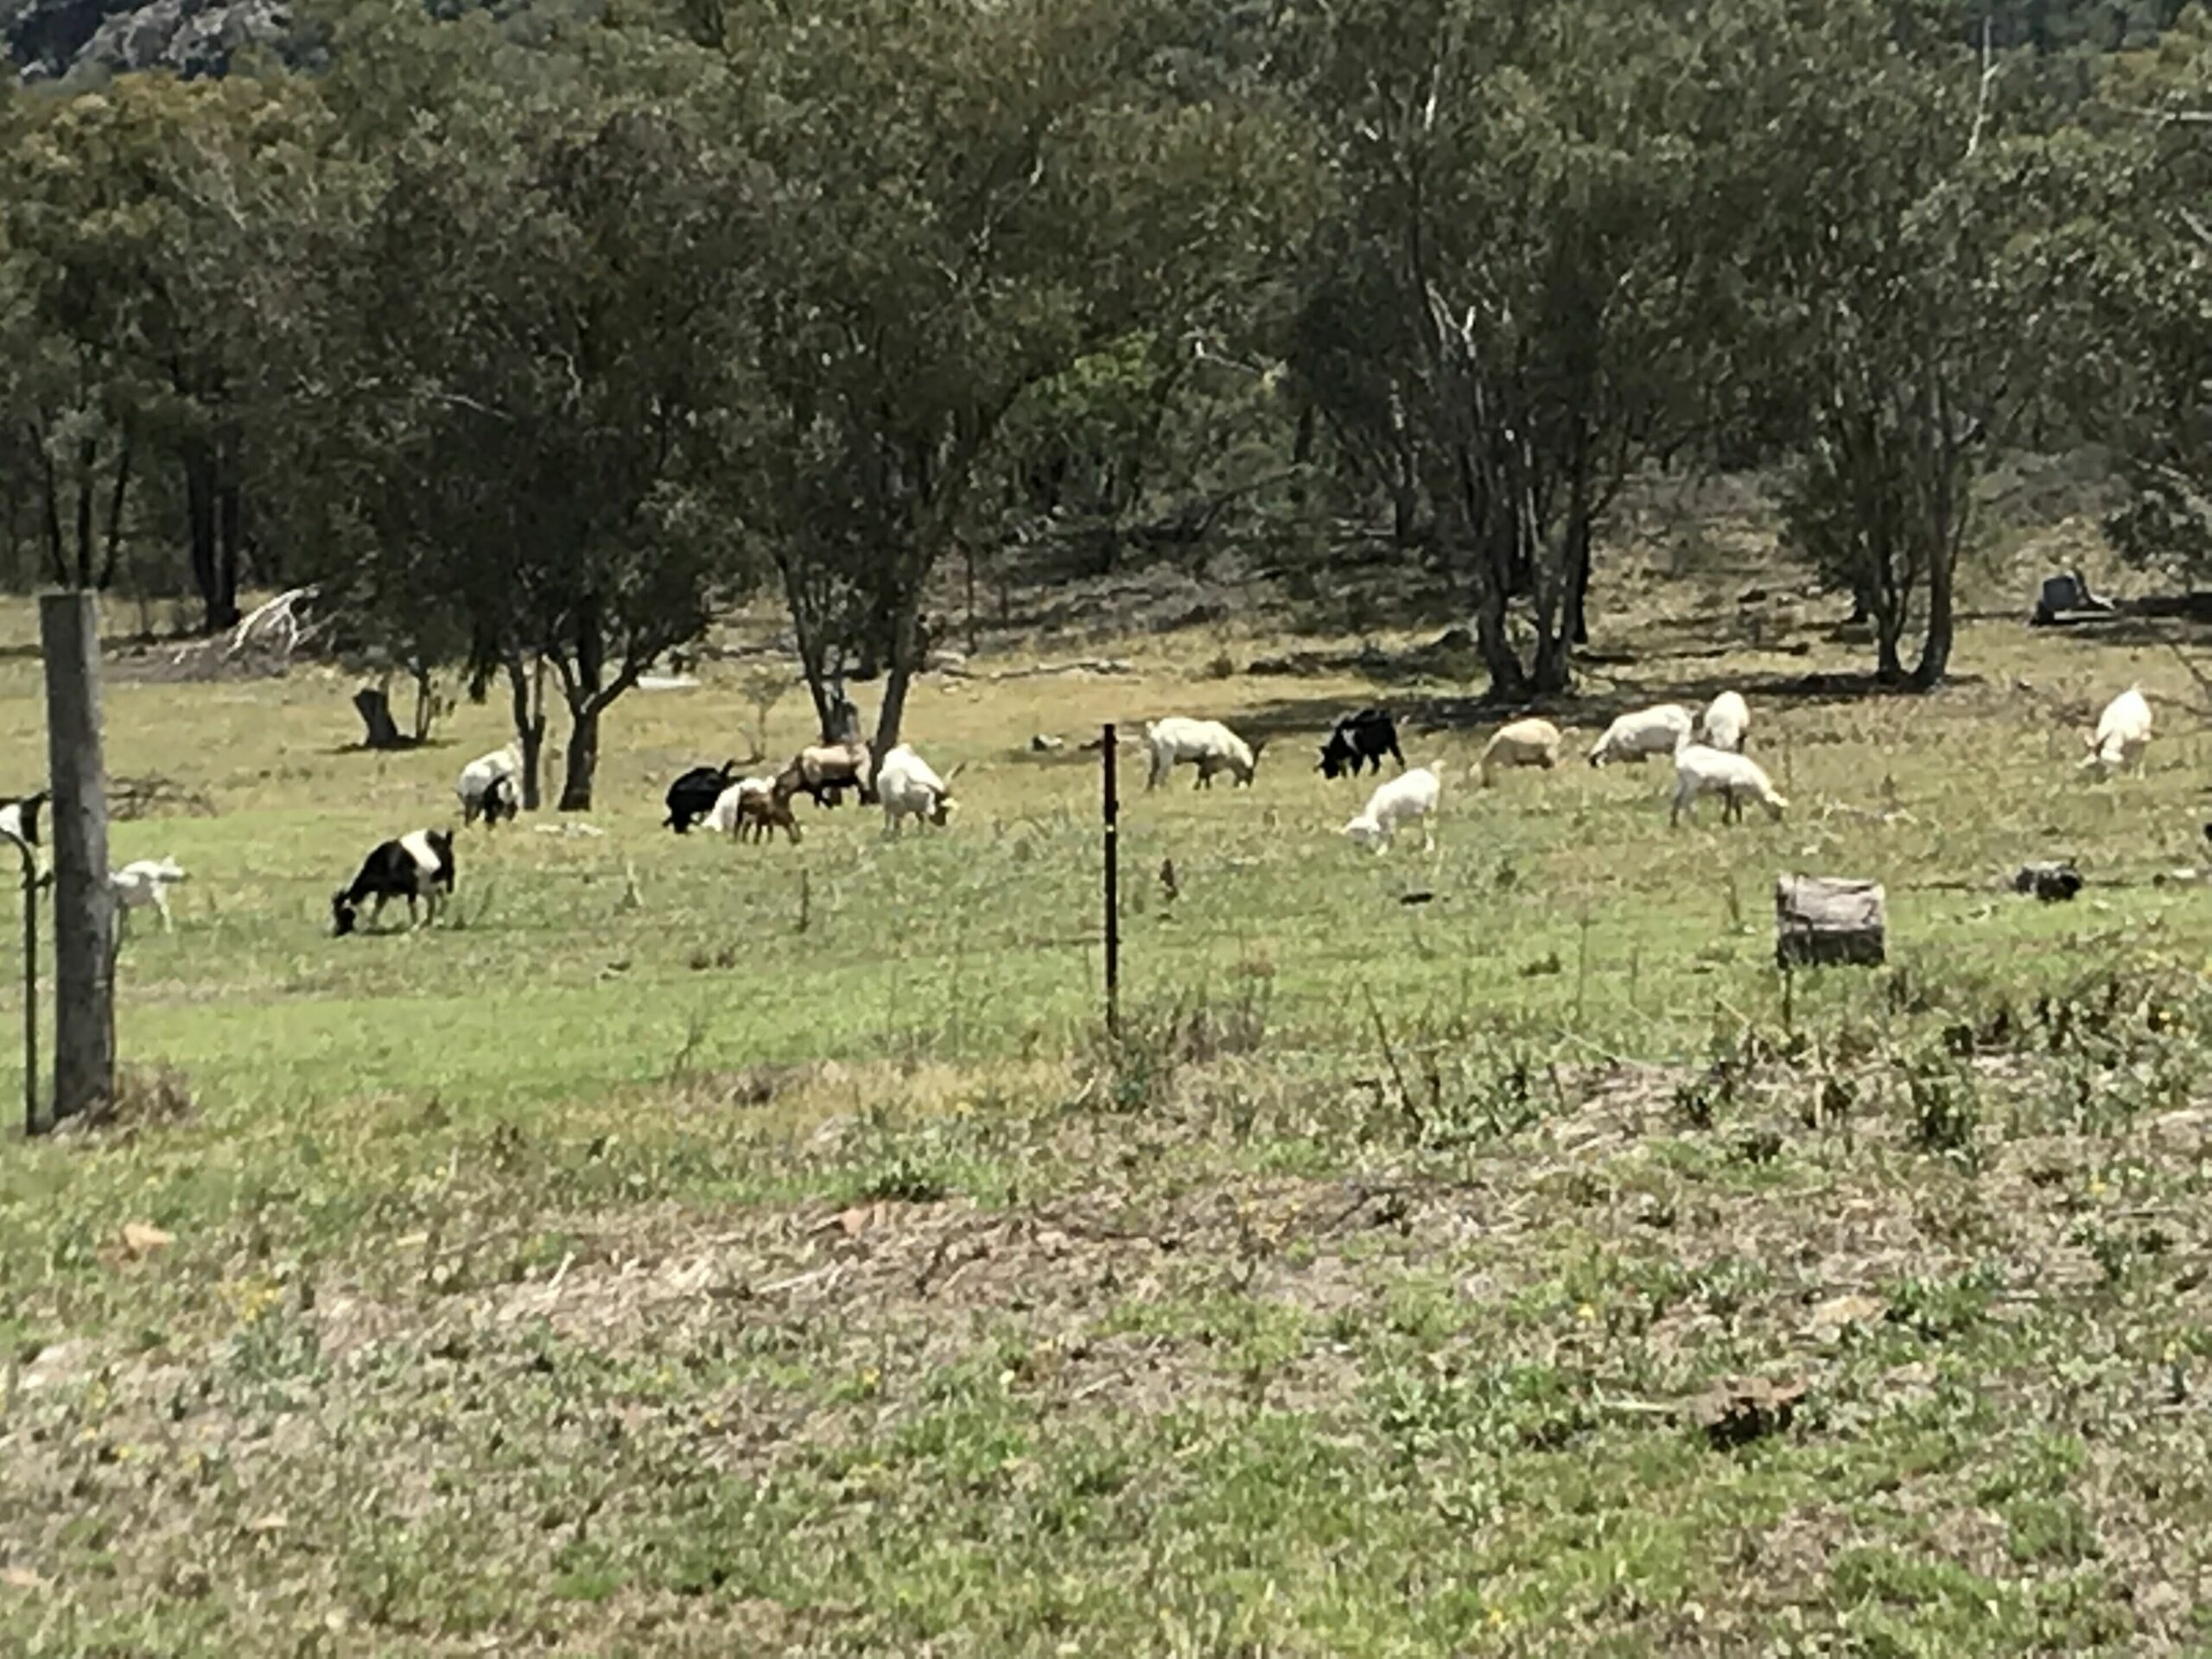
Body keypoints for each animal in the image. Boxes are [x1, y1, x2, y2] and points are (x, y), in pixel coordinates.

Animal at [327, 827, 453, 938]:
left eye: (340, 913)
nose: (334, 932)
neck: (387, 863)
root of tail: (444, 839)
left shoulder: (411, 888)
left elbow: (411, 905)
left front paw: (414, 927)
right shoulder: (384, 891)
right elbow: (378, 907)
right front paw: (370, 926)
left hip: (444, 878)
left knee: (445, 896)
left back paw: (438, 921)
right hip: (427, 885)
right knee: (435, 899)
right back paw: (429, 921)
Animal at [1141, 716, 1265, 791]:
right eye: (1249, 770)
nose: (1249, 783)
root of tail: (1155, 730)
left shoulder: (1205, 762)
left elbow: (1206, 776)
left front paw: (1206, 788)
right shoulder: (1209, 758)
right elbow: (1203, 775)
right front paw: (1196, 788)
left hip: (1155, 757)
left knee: (1152, 774)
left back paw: (1149, 792)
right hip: (1167, 758)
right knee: (1161, 776)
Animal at [1663, 739, 1787, 827]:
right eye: (1776, 806)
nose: (1778, 820)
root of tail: (1681, 758)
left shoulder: (1729, 790)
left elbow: (1732, 803)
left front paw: (1730, 821)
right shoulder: (1735, 787)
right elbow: (1735, 805)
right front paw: (1733, 821)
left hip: (1682, 782)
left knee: (1676, 799)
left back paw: (1674, 823)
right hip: (1693, 783)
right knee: (1685, 802)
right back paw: (1694, 822)